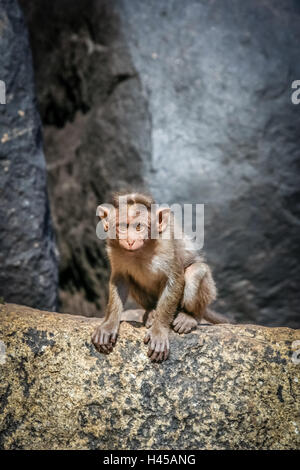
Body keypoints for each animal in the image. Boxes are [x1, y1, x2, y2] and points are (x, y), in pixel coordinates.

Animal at [91, 193, 227, 362]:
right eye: (122, 226)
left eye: (139, 226)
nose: (130, 241)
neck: (141, 250)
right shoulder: (114, 248)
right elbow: (120, 280)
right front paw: (108, 325)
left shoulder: (166, 244)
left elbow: (175, 280)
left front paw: (159, 331)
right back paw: (151, 312)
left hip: (209, 290)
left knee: (196, 271)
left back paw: (191, 317)